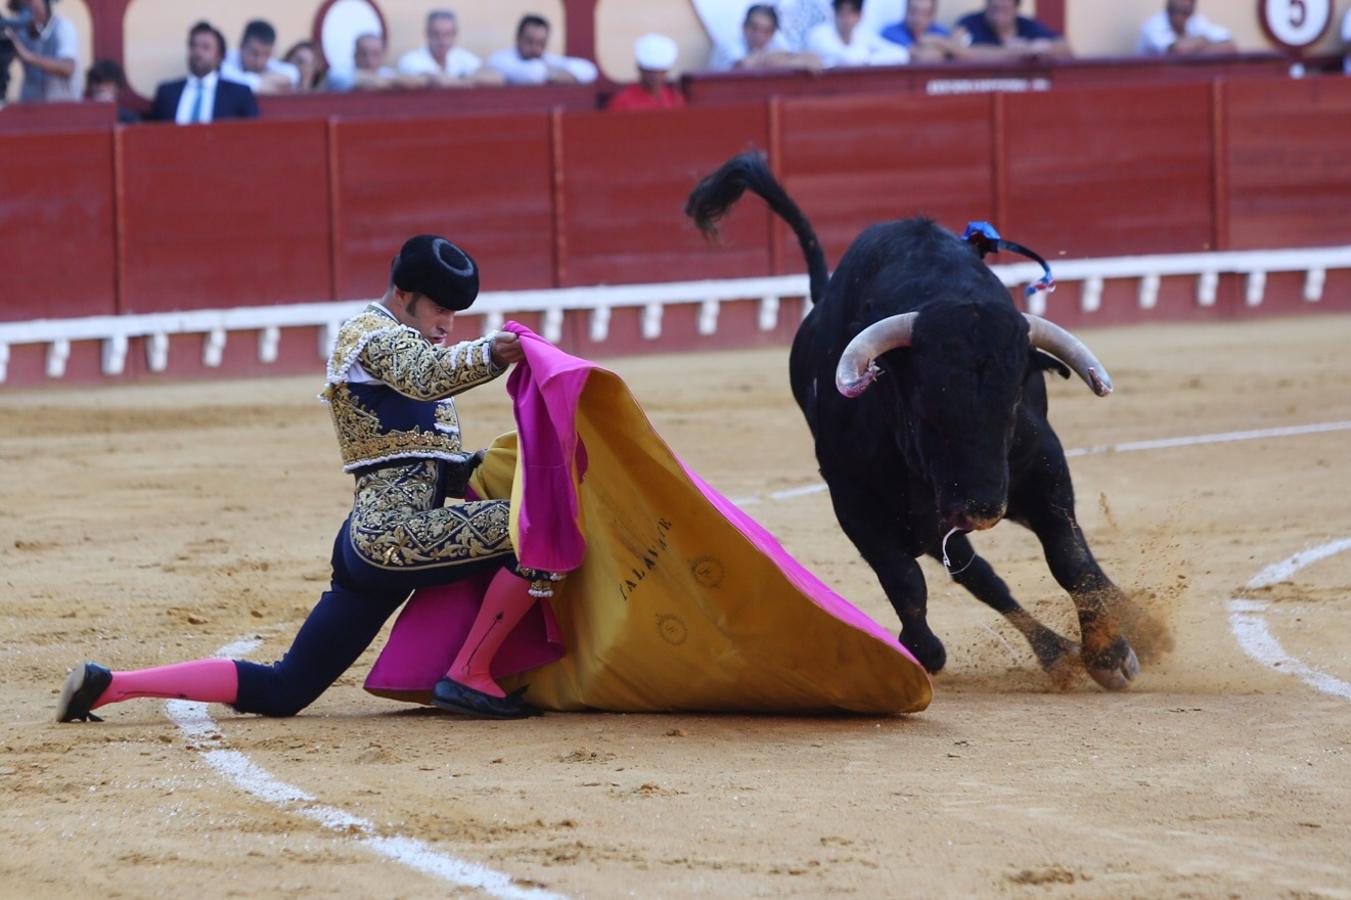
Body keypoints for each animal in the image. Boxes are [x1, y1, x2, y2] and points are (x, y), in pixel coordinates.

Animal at [686, 152, 1140, 686]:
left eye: (1013, 402)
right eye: (926, 405)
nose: (980, 509)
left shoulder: (1042, 464)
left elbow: (1069, 556)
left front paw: (1111, 652)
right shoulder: (854, 497)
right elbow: (905, 580)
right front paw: (923, 652)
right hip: (920, 518)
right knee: (977, 574)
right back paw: (1054, 650)